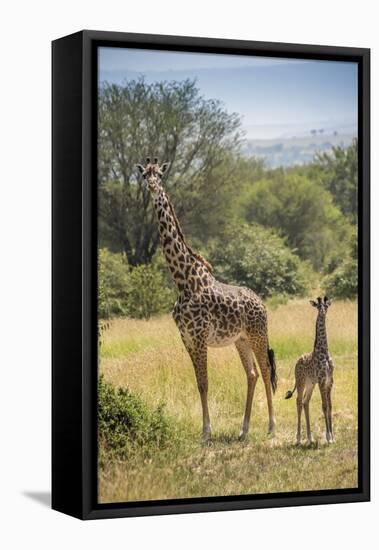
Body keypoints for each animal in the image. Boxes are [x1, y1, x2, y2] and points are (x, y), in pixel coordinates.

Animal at [137, 160, 280, 444]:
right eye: (145, 174)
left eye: (160, 174)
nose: (153, 187)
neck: (183, 281)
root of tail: (262, 303)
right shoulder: (187, 338)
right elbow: (199, 383)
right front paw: (205, 431)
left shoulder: (200, 336)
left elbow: (205, 382)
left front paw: (206, 433)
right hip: (241, 340)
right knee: (252, 374)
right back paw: (243, 430)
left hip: (258, 335)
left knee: (267, 370)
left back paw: (271, 426)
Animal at [284, 298, 336, 444]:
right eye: (318, 306)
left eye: (326, 306)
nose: (323, 312)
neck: (324, 351)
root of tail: (296, 362)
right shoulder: (322, 380)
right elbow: (324, 406)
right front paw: (328, 437)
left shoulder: (330, 381)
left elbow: (330, 406)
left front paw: (333, 437)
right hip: (301, 382)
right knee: (298, 401)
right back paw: (298, 439)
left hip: (310, 384)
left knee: (305, 402)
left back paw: (310, 438)